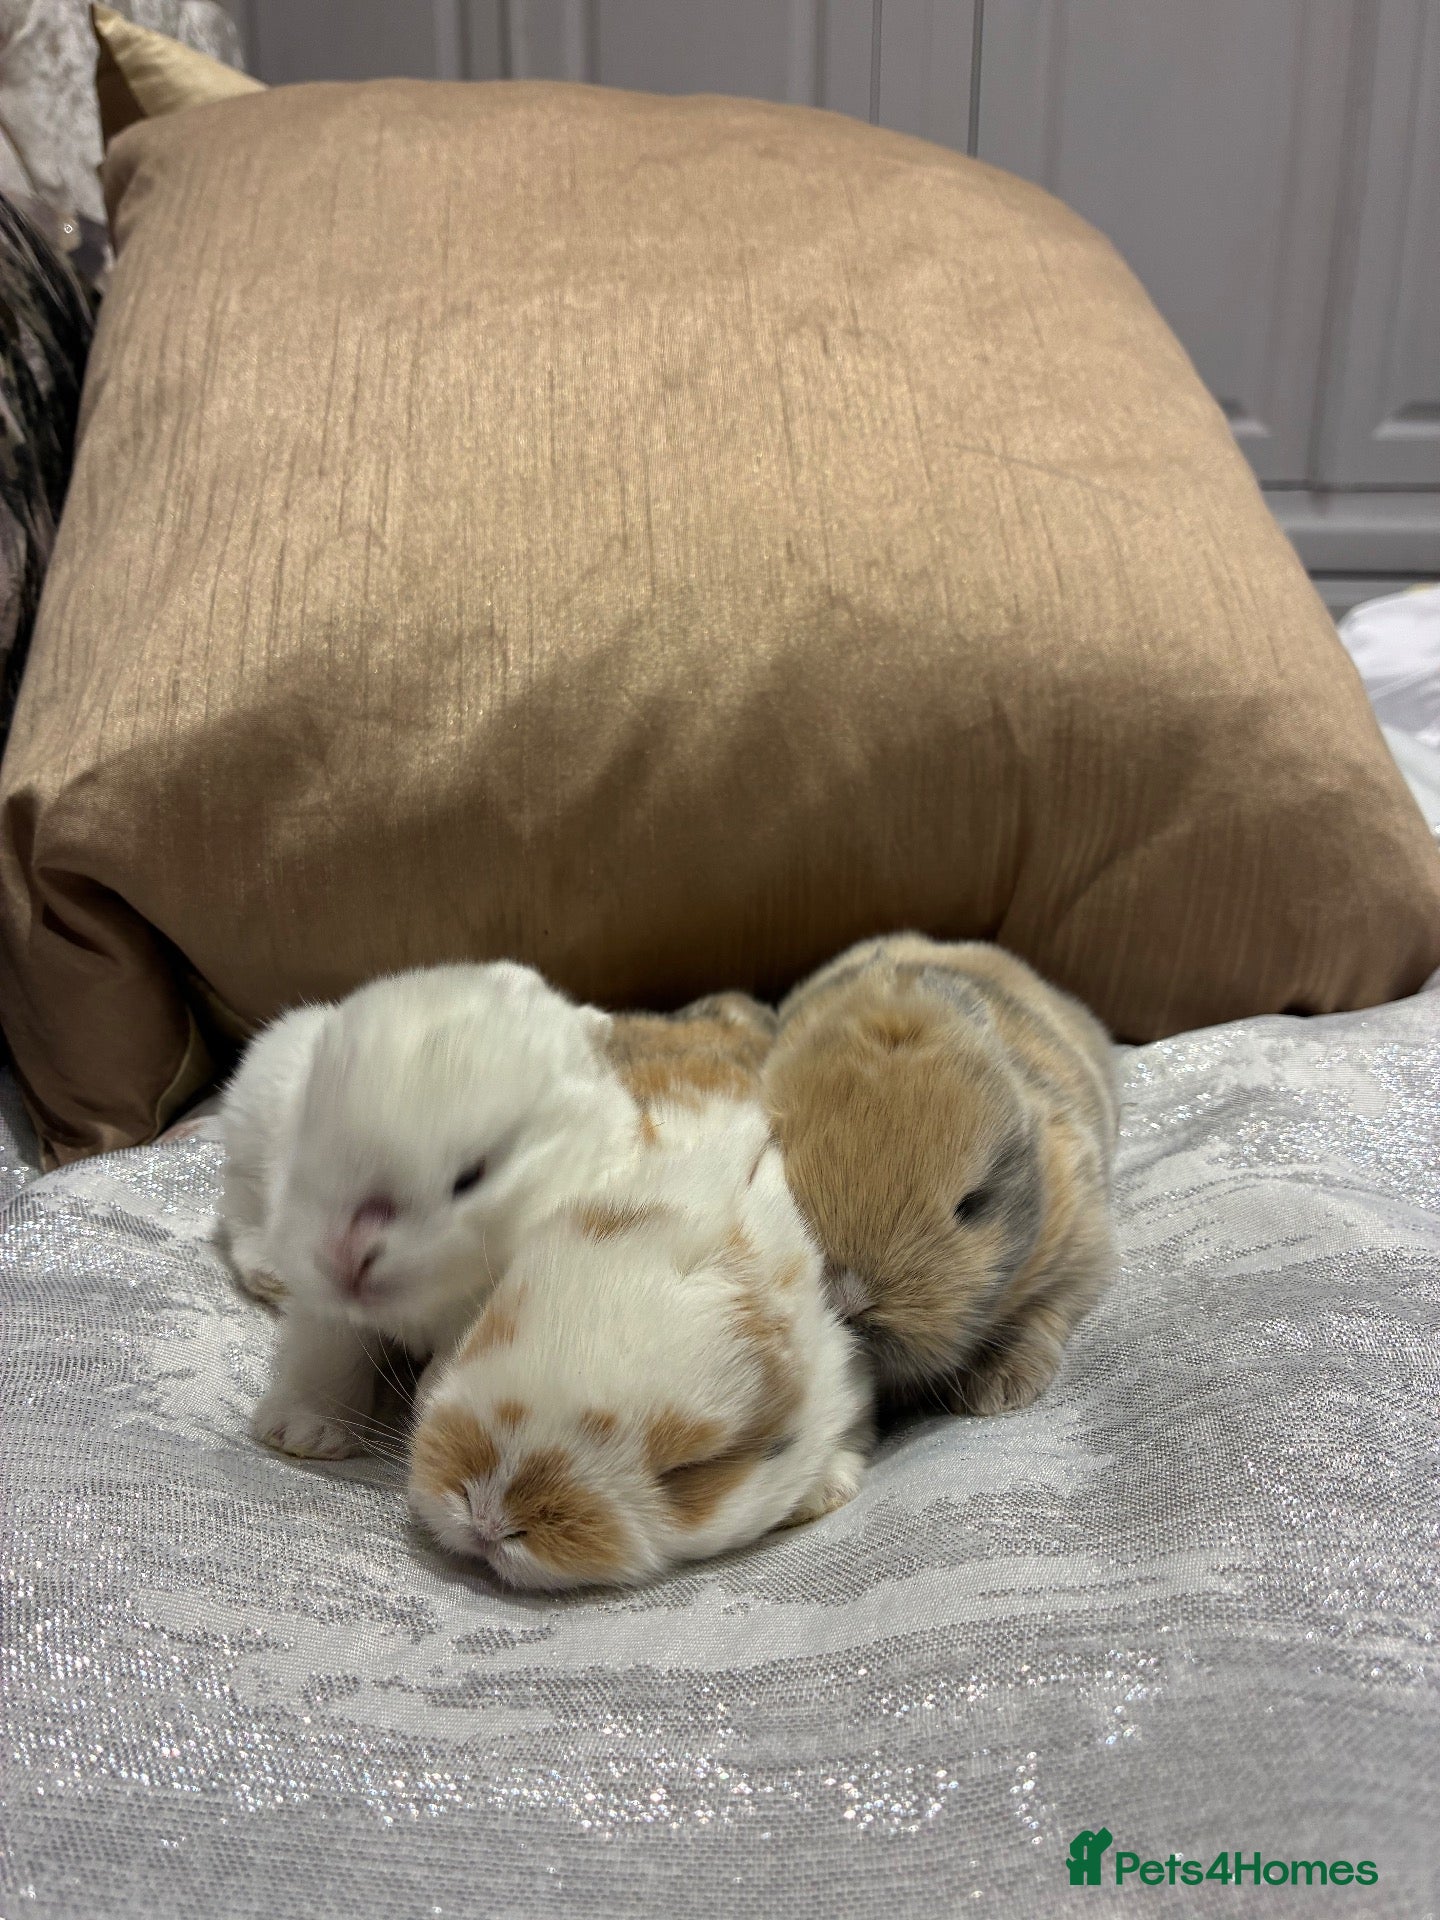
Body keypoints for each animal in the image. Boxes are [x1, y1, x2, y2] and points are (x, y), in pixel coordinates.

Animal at [220, 962, 643, 1462]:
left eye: (471, 1176)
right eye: (309, 1133)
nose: (345, 1257)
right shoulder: (323, 1308)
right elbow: (328, 1352)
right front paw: (304, 1433)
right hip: (248, 1143)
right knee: (237, 1206)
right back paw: (268, 1276)